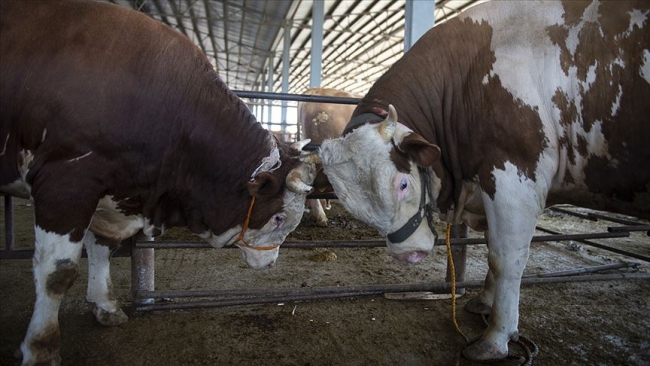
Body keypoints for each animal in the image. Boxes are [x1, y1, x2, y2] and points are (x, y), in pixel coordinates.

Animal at [0, 1, 314, 364]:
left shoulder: (113, 193)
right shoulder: (66, 183)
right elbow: (57, 272)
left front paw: (106, 306)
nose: (271, 262)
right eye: (278, 217)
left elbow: (102, 249)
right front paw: (41, 347)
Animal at [306, 0, 648, 360]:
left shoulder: (512, 178)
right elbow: (490, 253)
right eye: (358, 210)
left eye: (402, 184)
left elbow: (505, 258)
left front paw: (496, 337)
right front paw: (484, 301)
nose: (408, 254)